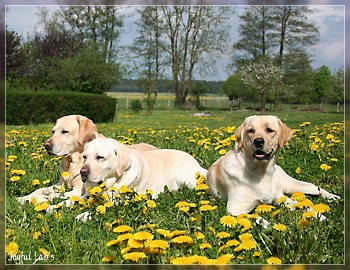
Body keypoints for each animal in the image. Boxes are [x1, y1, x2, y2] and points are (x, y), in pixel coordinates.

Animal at [17, 114, 157, 205]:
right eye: (53, 131)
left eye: (65, 131)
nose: (46, 145)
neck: (72, 162)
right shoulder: (59, 185)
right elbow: (39, 190)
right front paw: (24, 198)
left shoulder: (78, 190)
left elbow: (51, 195)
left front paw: (36, 200)